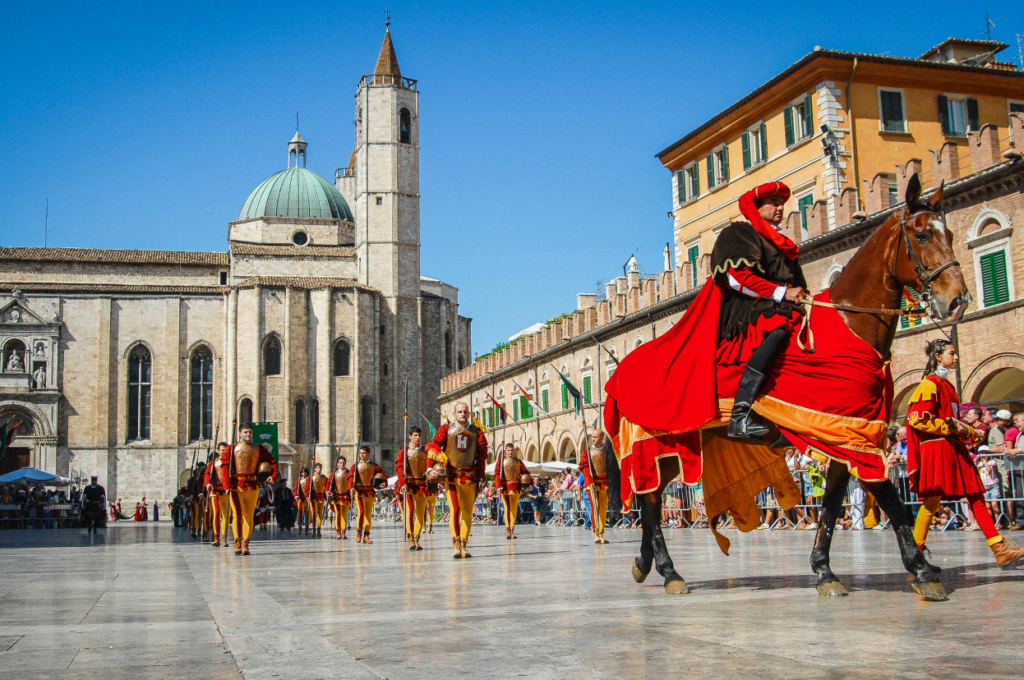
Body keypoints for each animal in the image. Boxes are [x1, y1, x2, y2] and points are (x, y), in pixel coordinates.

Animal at [626, 175, 970, 602]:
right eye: (921, 234)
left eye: (949, 233)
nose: (956, 300)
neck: (849, 329)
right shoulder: (855, 437)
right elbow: (890, 495)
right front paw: (922, 570)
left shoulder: (844, 434)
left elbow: (833, 503)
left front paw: (824, 570)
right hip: (656, 444)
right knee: (650, 502)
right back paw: (669, 570)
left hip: (676, 449)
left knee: (651, 502)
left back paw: (647, 565)